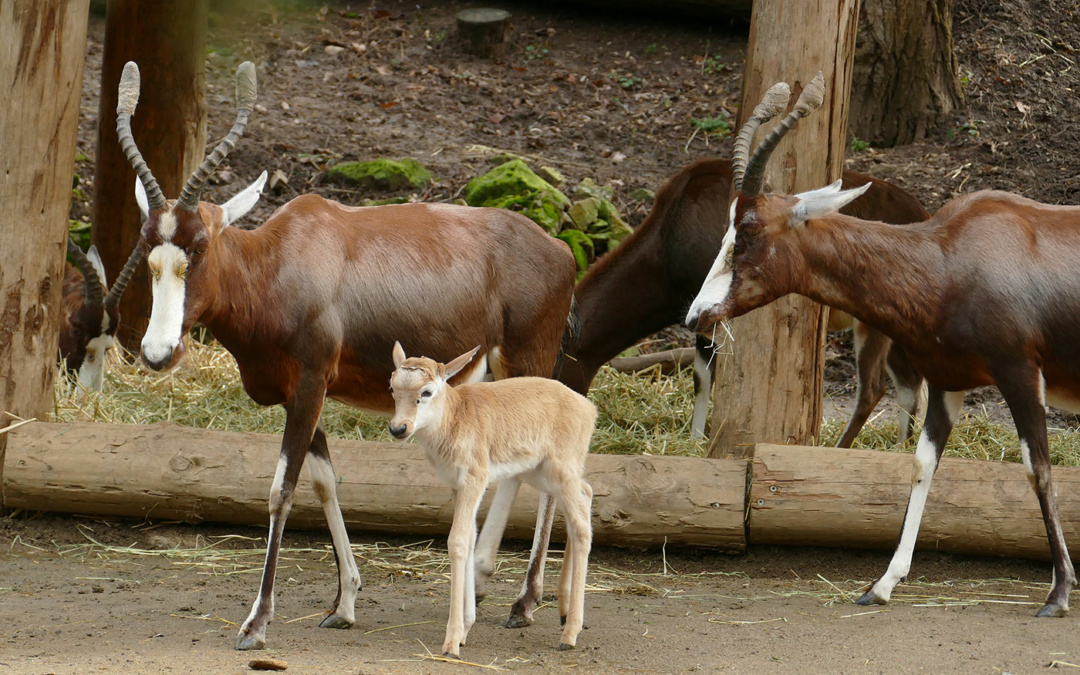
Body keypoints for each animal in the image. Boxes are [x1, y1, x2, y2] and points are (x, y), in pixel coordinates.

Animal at [113, 61, 578, 648]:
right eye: (148, 250)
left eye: (198, 247)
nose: (158, 352)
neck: (279, 262)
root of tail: (561, 251)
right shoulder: (301, 394)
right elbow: (324, 482)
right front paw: (345, 602)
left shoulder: (310, 386)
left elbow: (281, 490)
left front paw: (256, 622)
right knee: (512, 465)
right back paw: (482, 583)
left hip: (530, 364)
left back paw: (525, 602)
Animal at [388, 339, 596, 656]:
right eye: (392, 388)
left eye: (426, 392)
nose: (399, 428)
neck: (455, 417)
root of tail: (589, 408)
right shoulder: (458, 486)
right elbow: (471, 537)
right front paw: (465, 629)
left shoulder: (474, 479)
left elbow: (457, 542)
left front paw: (451, 642)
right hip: (542, 472)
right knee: (585, 496)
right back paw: (563, 610)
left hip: (561, 469)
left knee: (582, 525)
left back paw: (569, 633)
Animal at [557, 155, 928, 444]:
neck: (670, 234)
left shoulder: (709, 312)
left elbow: (702, 376)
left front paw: (696, 440)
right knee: (908, 383)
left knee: (881, 386)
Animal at [686, 73, 1075, 617]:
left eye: (748, 230)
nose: (695, 315)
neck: (949, 255)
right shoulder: (948, 383)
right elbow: (921, 466)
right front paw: (881, 585)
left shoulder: (1020, 374)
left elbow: (1038, 469)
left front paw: (1058, 594)